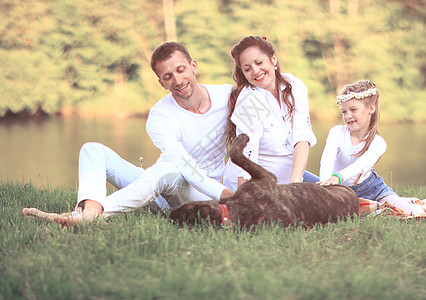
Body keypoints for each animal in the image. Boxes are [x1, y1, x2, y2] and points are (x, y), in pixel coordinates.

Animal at [170, 134, 360, 227]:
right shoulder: (266, 178)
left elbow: (236, 154)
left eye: (185, 206)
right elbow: (236, 154)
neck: (235, 211)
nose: (170, 215)